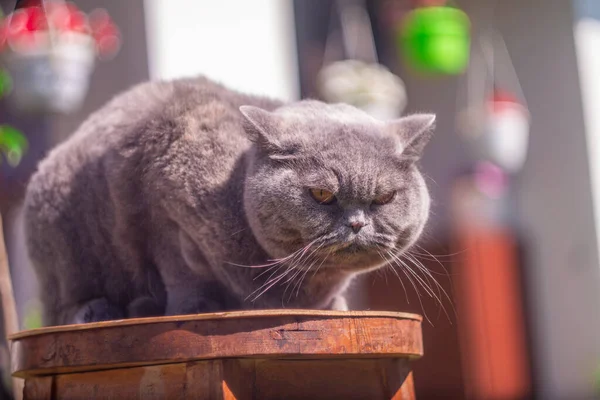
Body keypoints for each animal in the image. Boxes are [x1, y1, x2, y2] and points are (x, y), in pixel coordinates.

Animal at [23, 76, 436, 326]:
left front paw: (336, 307)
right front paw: (197, 308)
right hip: (61, 237)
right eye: (322, 195)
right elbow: (182, 271)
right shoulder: (163, 211)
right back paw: (100, 311)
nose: (356, 223)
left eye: (384, 198)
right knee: (61, 305)